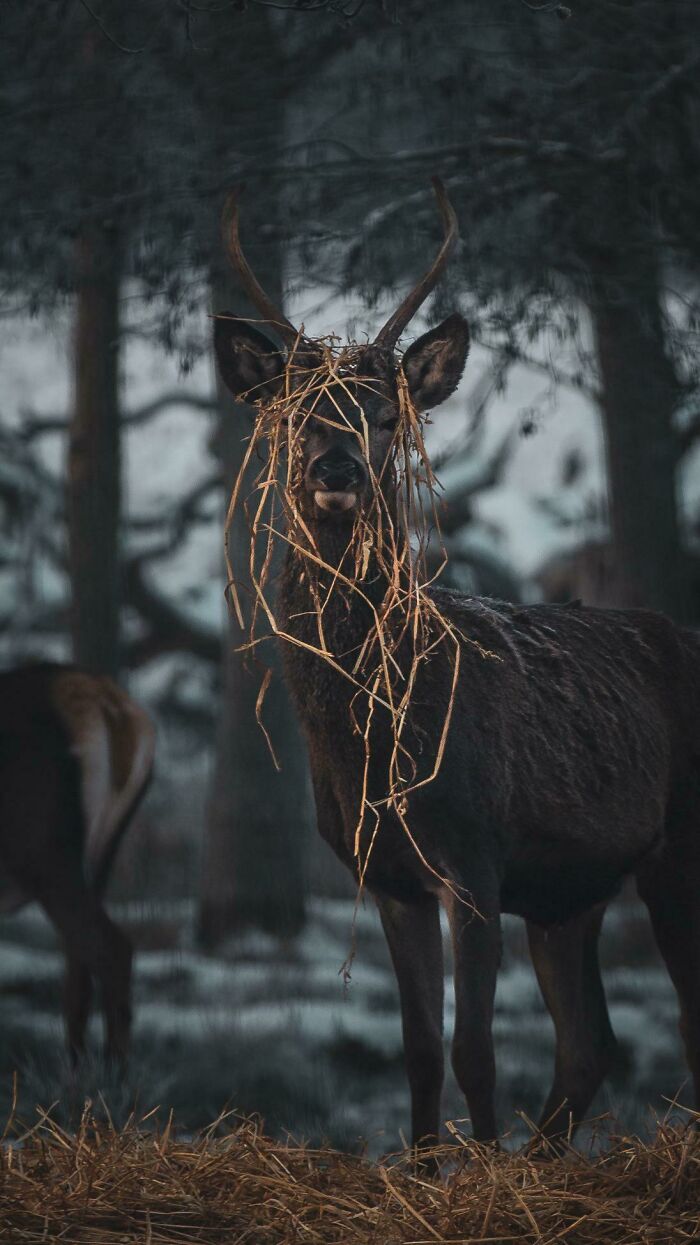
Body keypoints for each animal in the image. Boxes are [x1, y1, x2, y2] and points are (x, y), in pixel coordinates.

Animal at [213, 180, 700, 1152]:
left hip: (682, 846)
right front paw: (429, 1162)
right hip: (570, 893)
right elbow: (420, 1052)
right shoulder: (390, 877)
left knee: (678, 1021)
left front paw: (483, 1167)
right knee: (589, 1042)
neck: (381, 747)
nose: (336, 467)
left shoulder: (475, 853)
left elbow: (475, 1048)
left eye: (387, 416)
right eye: (295, 414)